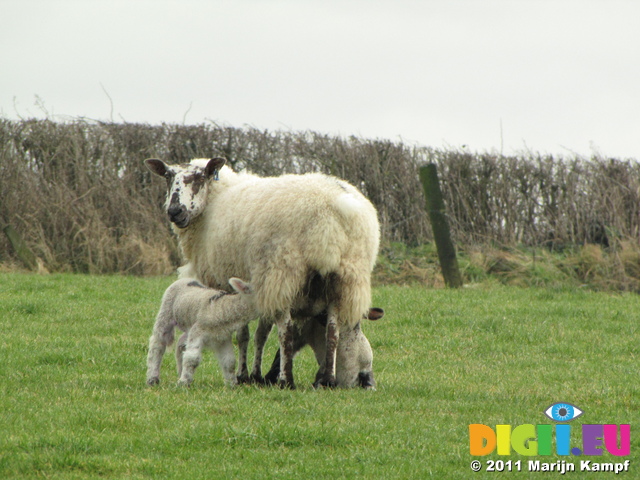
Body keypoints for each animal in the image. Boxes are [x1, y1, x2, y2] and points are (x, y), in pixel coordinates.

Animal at [145, 158, 380, 390]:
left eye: (200, 177)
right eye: (167, 176)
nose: (175, 211)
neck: (216, 197)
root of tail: (338, 207)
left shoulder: (233, 280)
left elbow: (244, 333)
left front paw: (243, 374)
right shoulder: (259, 284)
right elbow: (261, 333)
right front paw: (255, 375)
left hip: (282, 270)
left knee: (286, 331)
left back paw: (287, 380)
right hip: (344, 278)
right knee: (333, 330)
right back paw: (326, 380)